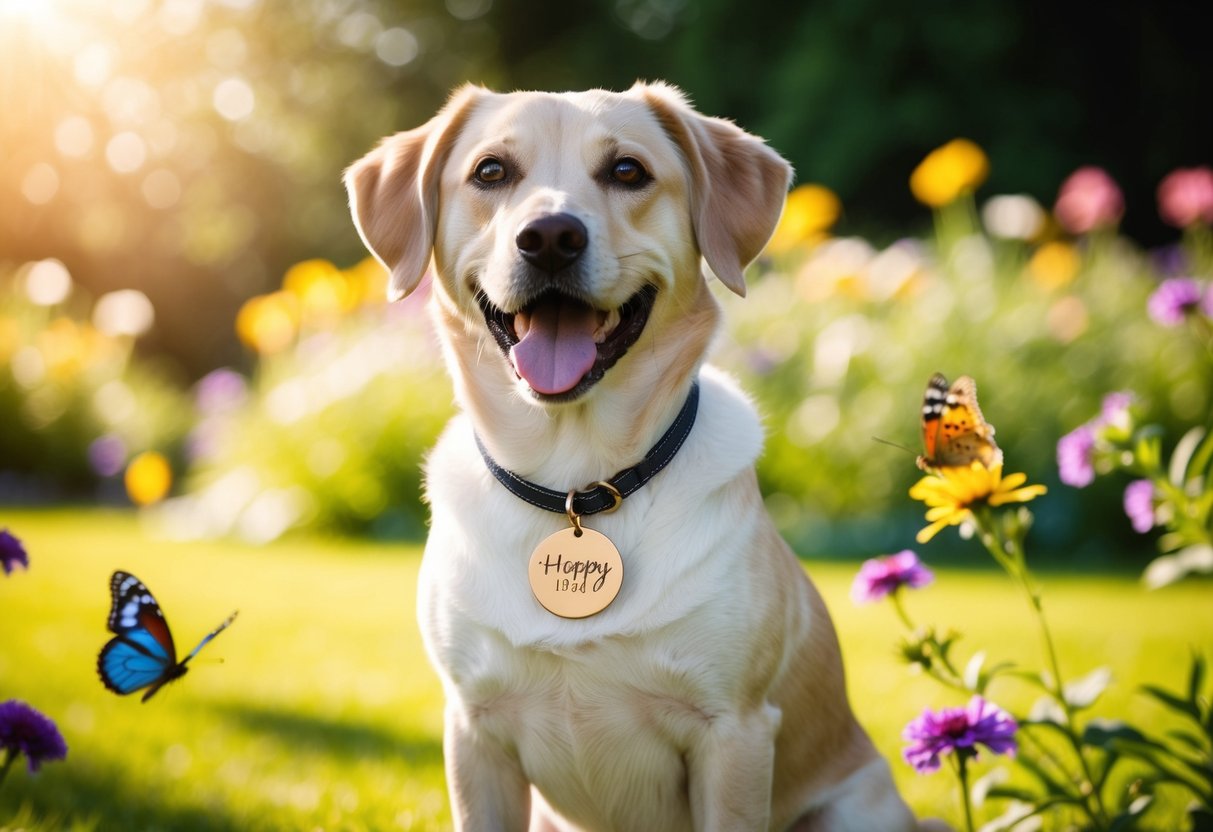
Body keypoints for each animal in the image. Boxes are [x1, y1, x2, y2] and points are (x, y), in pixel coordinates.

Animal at [346, 83, 931, 832]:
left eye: (627, 171)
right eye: (490, 171)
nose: (551, 237)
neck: (577, 483)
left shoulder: (734, 733)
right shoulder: (474, 734)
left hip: (855, 806)